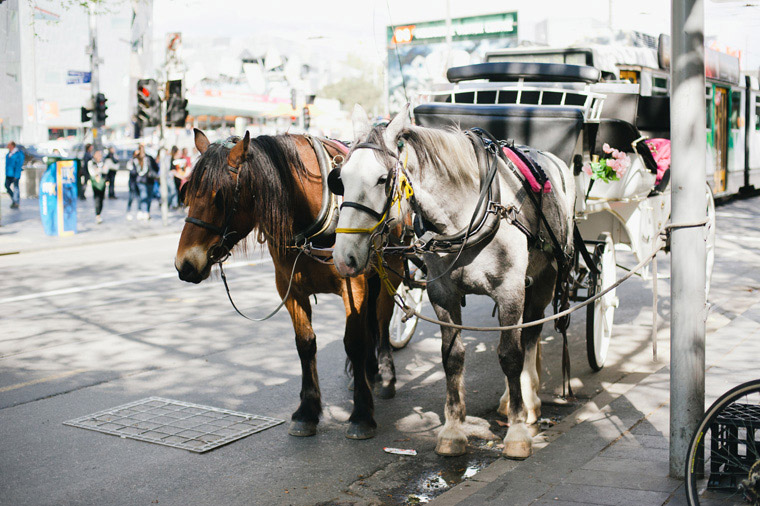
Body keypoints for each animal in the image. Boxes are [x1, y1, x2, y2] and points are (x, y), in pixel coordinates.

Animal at [175, 129, 400, 438]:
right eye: (186, 192)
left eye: (219, 197)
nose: (184, 265)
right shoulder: (290, 288)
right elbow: (305, 344)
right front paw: (307, 411)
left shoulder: (353, 285)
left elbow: (354, 342)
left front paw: (362, 414)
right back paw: (368, 372)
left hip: (393, 271)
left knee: (382, 318)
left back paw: (386, 375)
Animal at [334, 104, 576, 458]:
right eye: (340, 179)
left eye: (382, 179)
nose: (343, 257)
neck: (466, 213)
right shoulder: (442, 294)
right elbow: (452, 357)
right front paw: (453, 429)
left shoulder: (510, 291)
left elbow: (510, 356)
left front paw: (517, 432)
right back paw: (509, 401)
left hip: (547, 275)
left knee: (530, 336)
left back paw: (528, 402)